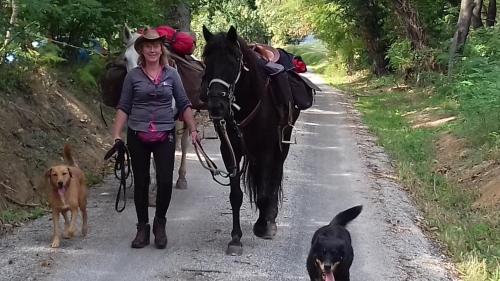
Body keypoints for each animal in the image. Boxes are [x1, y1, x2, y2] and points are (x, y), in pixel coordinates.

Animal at [201, 25, 298, 254]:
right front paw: (235, 238)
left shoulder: (266, 150)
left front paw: (263, 225)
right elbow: (235, 195)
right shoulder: (230, 150)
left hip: (281, 146)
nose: (216, 106)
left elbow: (264, 191)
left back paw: (270, 217)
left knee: (274, 177)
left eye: (235, 59)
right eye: (206, 59)